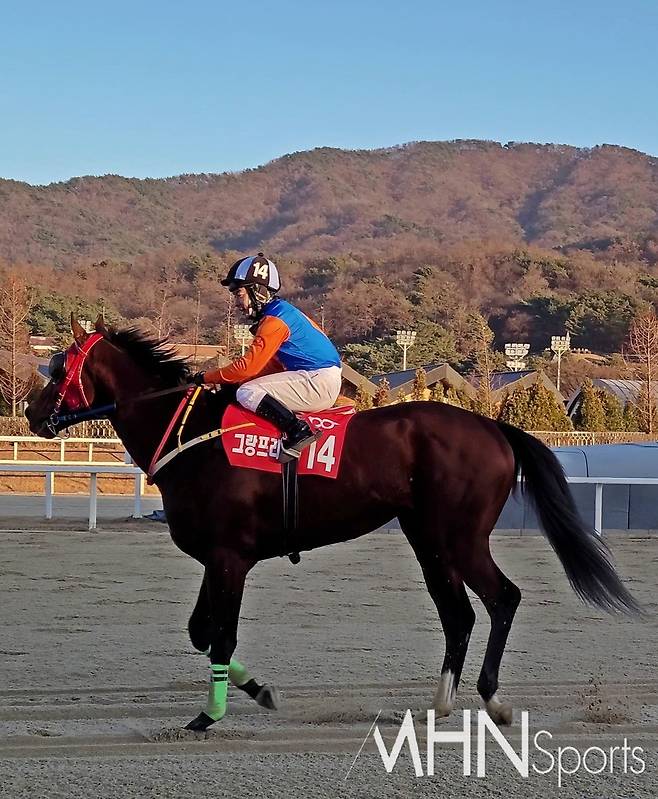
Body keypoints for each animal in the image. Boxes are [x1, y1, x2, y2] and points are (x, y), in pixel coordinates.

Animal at [25, 318, 636, 732]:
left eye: (57, 368)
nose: (31, 413)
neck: (192, 434)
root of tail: (492, 427)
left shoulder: (229, 558)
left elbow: (221, 635)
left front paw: (208, 716)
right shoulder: (216, 556)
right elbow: (203, 632)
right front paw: (259, 691)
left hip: (460, 537)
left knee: (502, 598)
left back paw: (493, 699)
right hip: (428, 539)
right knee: (458, 614)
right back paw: (440, 703)